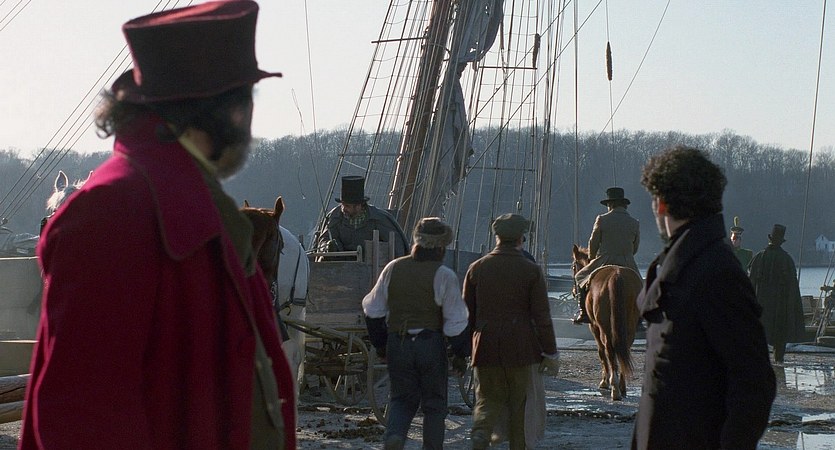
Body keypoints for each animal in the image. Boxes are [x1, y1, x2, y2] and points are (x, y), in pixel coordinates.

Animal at [571, 244, 642, 401]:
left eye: (573, 266)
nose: (573, 292)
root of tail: (616, 275)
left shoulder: (594, 326)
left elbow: (601, 352)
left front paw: (604, 381)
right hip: (629, 324)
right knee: (624, 348)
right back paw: (622, 387)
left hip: (604, 327)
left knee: (609, 349)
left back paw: (614, 387)